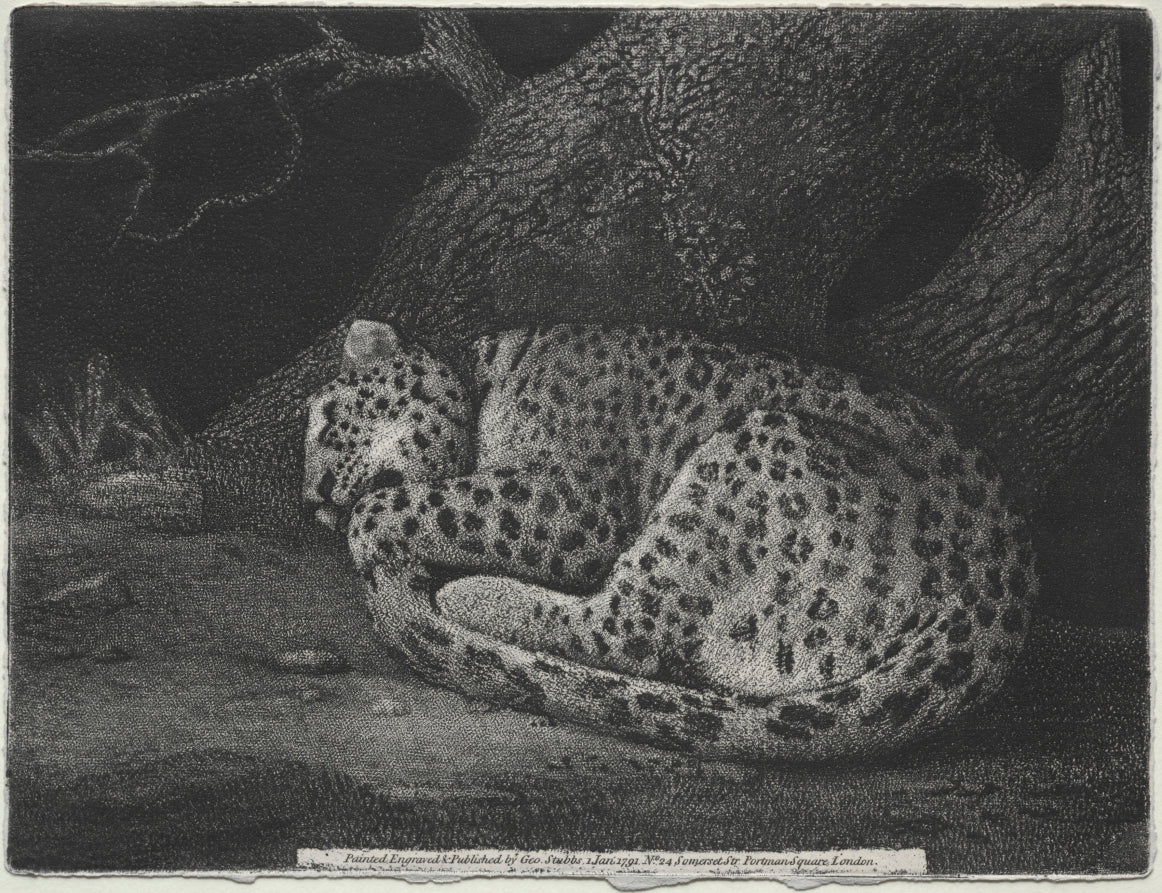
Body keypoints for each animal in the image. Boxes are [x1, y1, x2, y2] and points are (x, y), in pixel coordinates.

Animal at [303, 319, 1035, 762]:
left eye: (330, 423)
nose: (311, 504)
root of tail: (996, 599)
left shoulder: (571, 504)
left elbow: (410, 502)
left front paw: (373, 531)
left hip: (749, 455)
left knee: (627, 630)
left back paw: (465, 595)